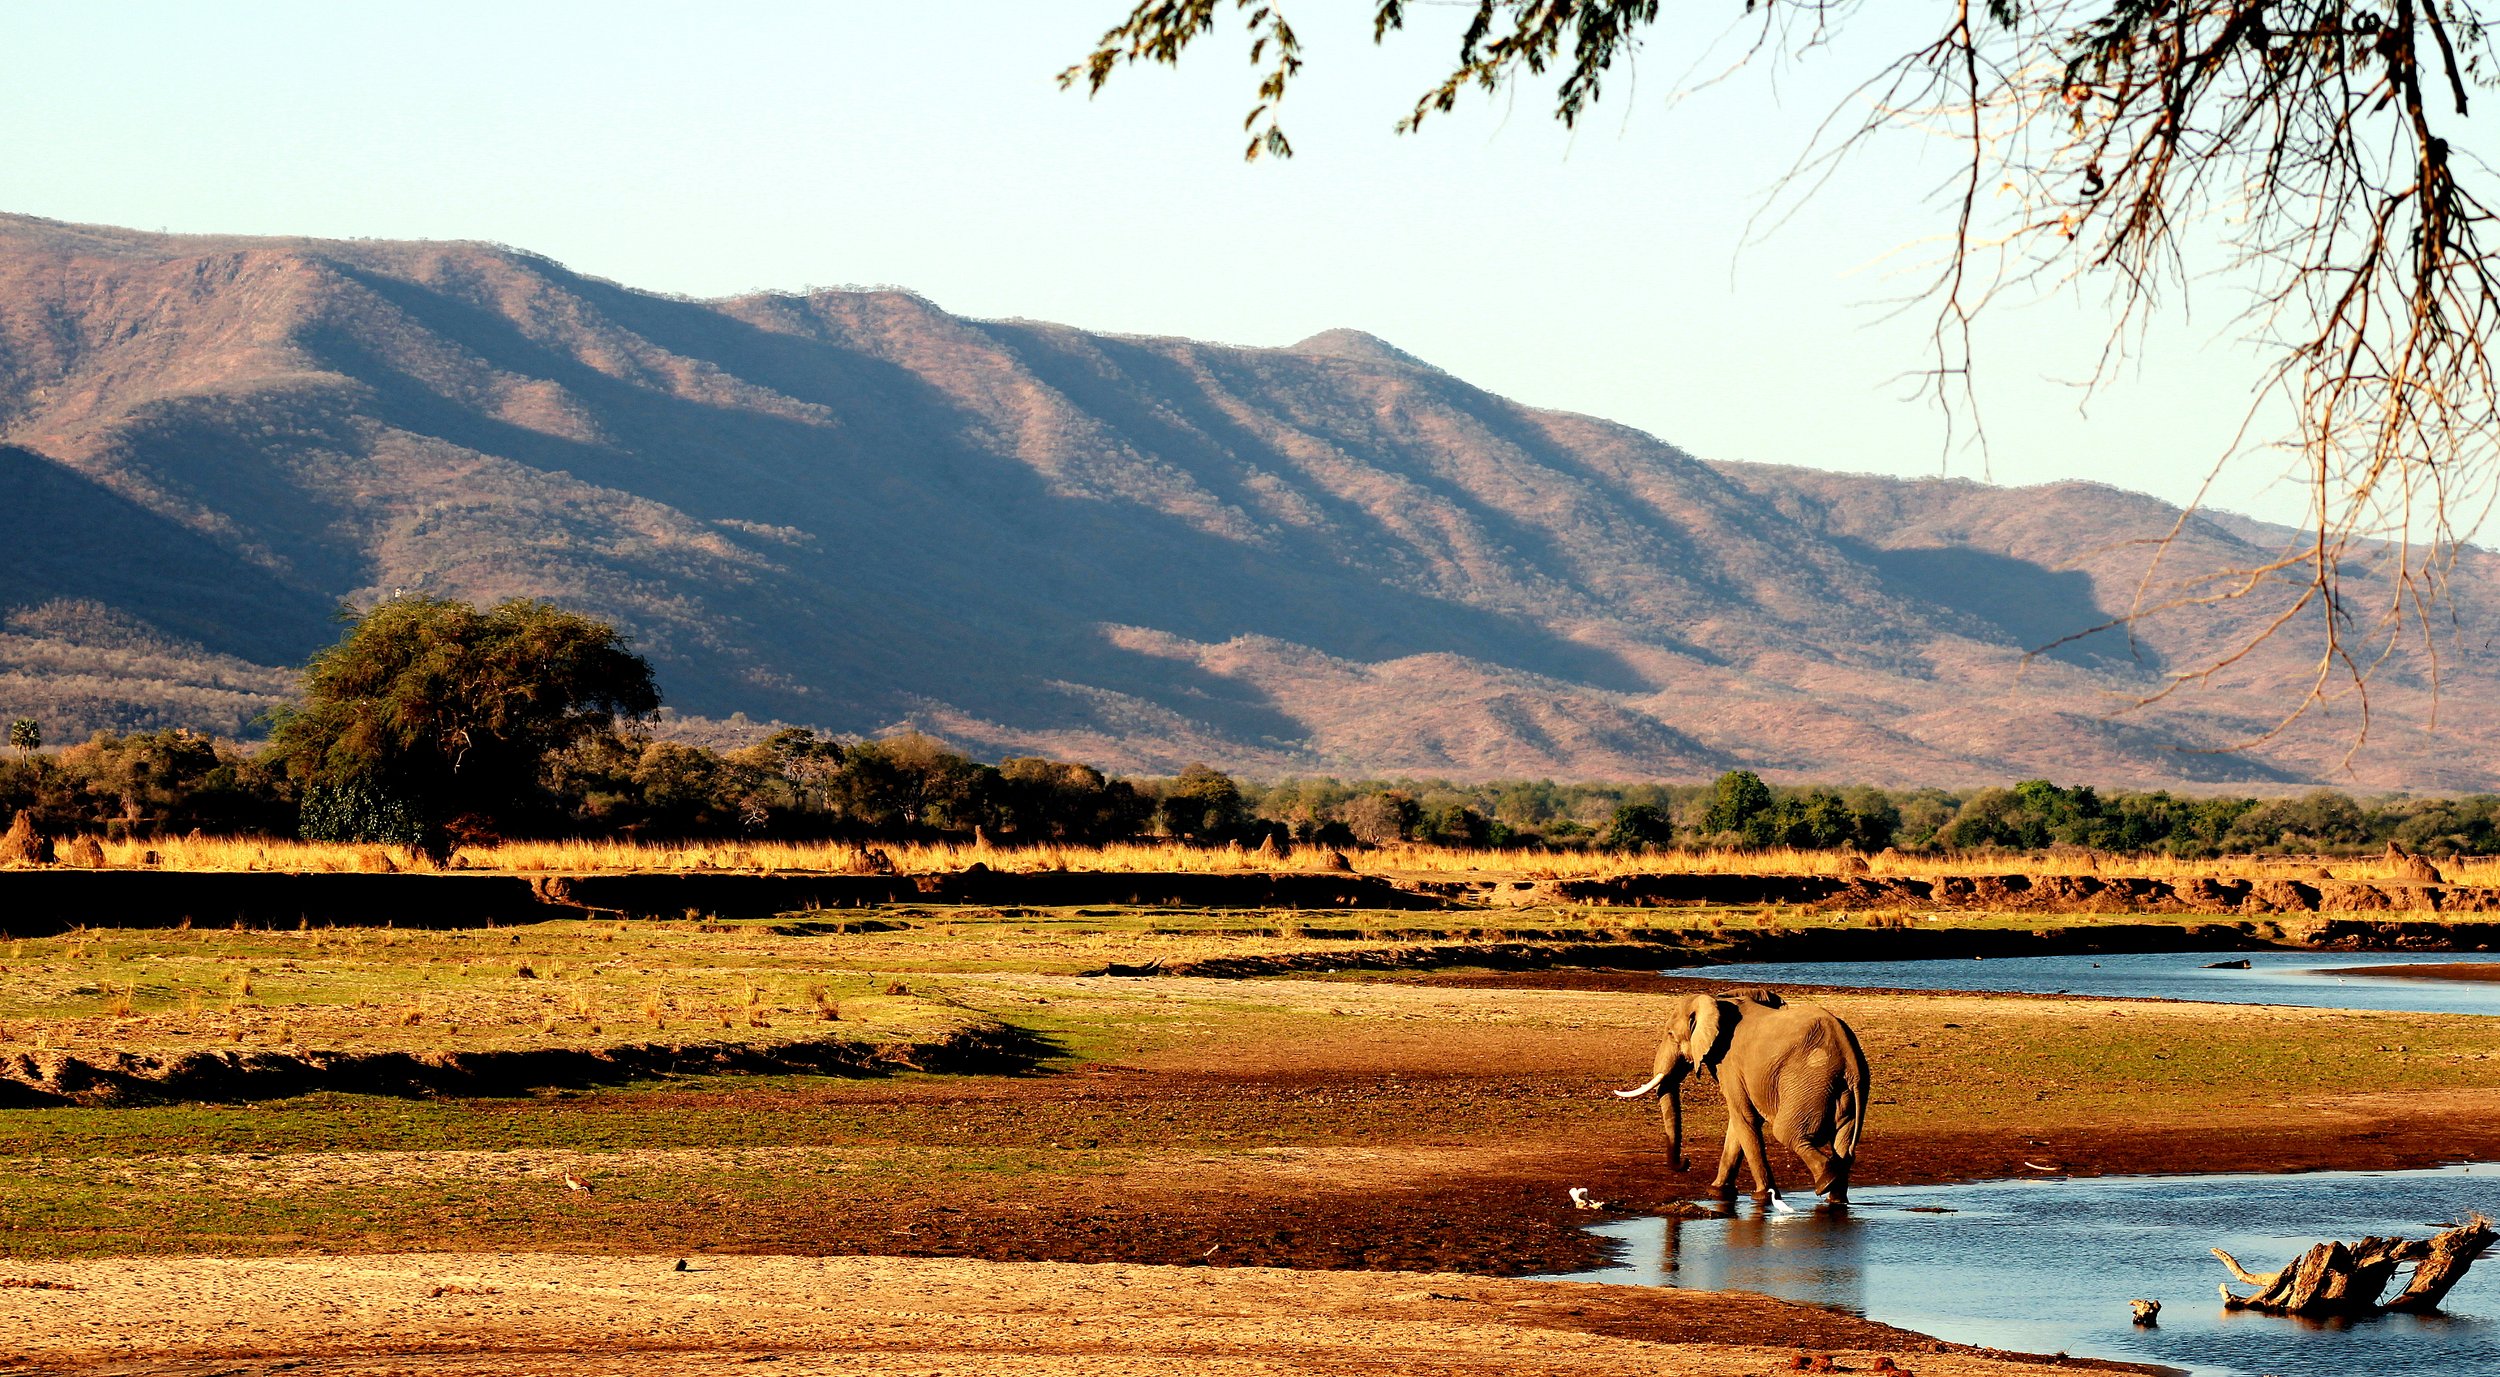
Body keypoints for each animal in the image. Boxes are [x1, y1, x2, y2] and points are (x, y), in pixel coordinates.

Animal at [1614, 988, 1869, 1205]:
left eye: (1670, 1034)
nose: (1686, 1162)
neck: (1719, 1001)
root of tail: (1849, 1058)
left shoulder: (1729, 1062)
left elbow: (1744, 1119)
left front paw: (1761, 1197)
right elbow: (1737, 1125)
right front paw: (1717, 1192)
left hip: (1808, 1081)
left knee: (1787, 1133)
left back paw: (1825, 1182)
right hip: (1842, 1090)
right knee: (1842, 1142)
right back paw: (1836, 1199)